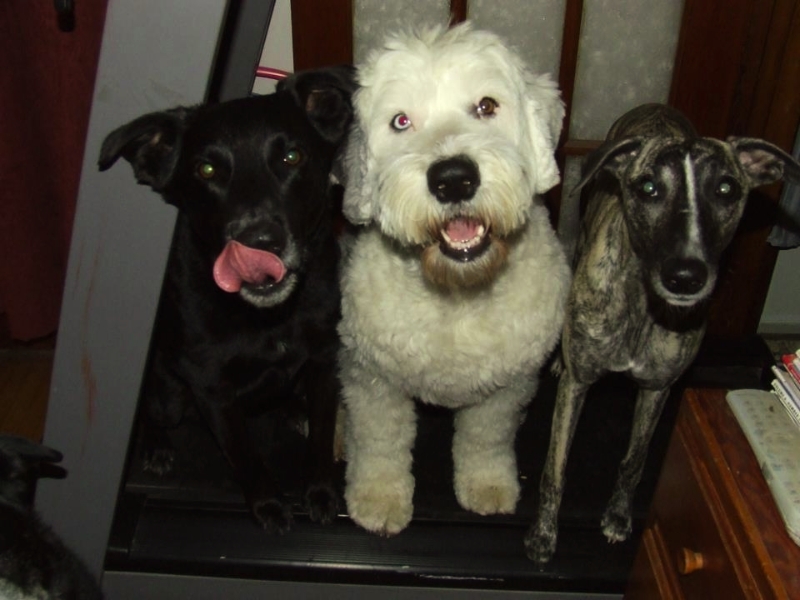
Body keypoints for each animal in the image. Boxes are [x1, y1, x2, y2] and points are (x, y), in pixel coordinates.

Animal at [97, 68, 354, 532]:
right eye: (207, 169)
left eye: (292, 158)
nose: (260, 242)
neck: (270, 318)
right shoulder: (212, 391)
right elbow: (244, 455)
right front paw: (268, 505)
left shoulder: (325, 361)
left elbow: (323, 436)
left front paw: (321, 492)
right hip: (170, 395)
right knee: (152, 411)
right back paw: (156, 447)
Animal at [338, 23, 568, 536]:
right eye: (401, 121)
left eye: (486, 106)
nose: (453, 179)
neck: (457, 295)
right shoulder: (374, 378)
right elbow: (381, 441)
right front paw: (379, 498)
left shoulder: (507, 387)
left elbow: (485, 439)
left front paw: (488, 486)